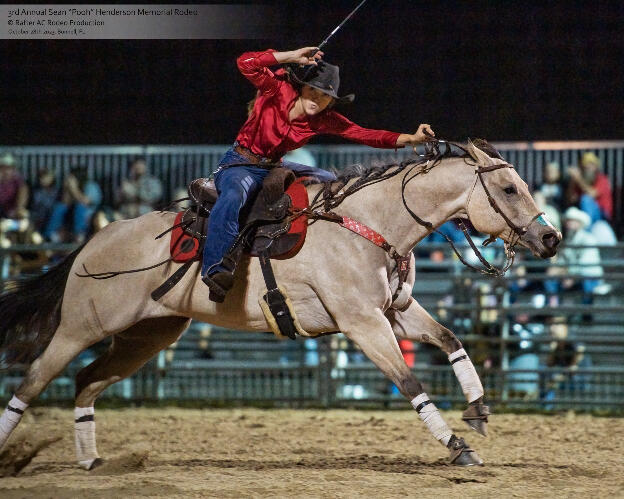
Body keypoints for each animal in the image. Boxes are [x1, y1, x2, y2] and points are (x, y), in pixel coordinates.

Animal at [0, 140, 561, 469]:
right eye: (509, 187)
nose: (551, 238)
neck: (369, 223)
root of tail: (93, 242)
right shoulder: (361, 322)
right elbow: (409, 382)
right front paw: (457, 448)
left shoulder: (395, 311)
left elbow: (449, 339)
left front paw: (478, 410)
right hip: (78, 327)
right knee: (33, 383)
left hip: (148, 334)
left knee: (86, 381)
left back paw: (91, 462)